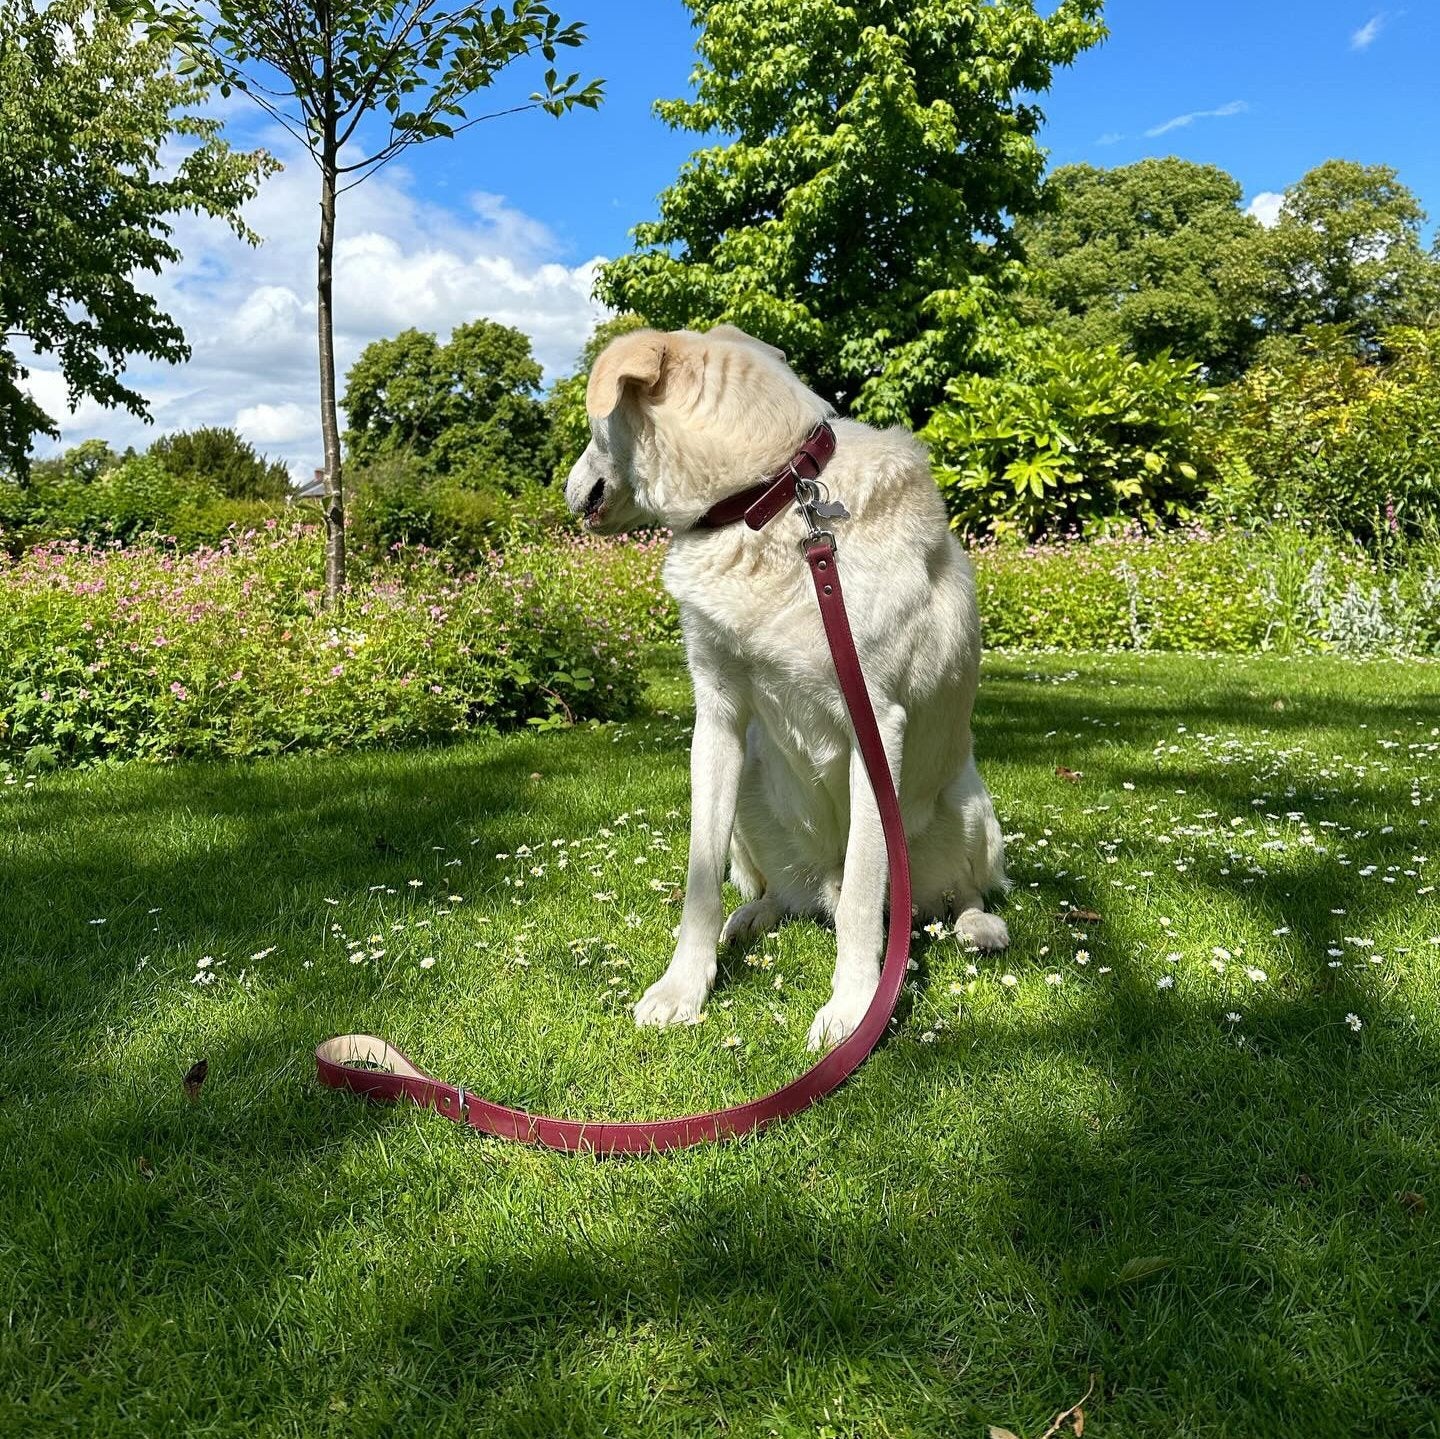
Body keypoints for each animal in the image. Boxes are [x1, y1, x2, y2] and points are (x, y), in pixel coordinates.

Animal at [564, 324, 1013, 1048]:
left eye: (591, 426)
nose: (565, 490)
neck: (766, 499)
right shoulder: (718, 717)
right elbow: (699, 882)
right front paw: (684, 989)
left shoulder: (875, 729)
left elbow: (864, 896)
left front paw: (855, 1010)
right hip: (751, 796)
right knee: (777, 892)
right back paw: (752, 917)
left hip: (971, 808)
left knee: (950, 894)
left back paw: (978, 926)